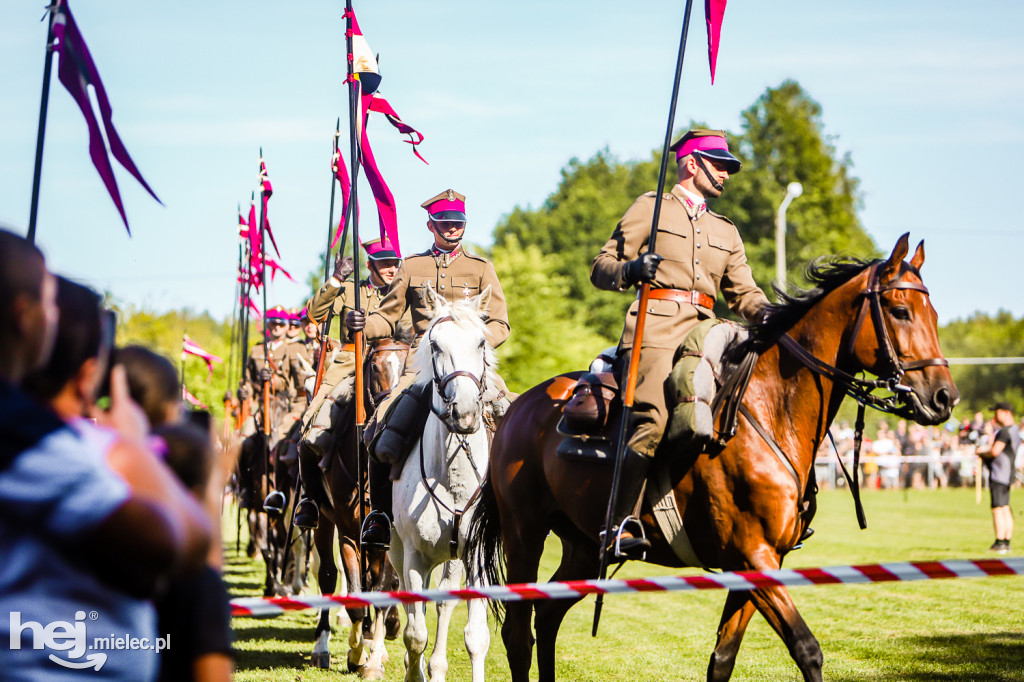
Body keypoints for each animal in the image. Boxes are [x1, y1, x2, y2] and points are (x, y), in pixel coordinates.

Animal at [307, 329, 411, 675]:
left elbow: (382, 589)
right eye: (375, 368)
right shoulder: (348, 533)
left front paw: (374, 657)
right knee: (327, 576)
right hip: (323, 522)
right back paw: (322, 647)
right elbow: (352, 593)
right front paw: (355, 654)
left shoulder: (385, 537)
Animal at [389, 282, 493, 679]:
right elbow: (414, 634)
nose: (464, 413)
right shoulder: (413, 556)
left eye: (481, 342)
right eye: (435, 344)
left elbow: (476, 636)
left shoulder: (477, 557)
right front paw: (413, 671)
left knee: (444, 602)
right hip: (396, 550)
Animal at [468, 233, 954, 679]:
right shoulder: (752, 555)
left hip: (583, 547)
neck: (766, 411)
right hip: (525, 534)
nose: (944, 397)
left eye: (933, 313)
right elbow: (807, 648)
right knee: (518, 633)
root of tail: (517, 407)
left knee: (548, 618)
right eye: (901, 311)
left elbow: (722, 658)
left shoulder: (760, 563)